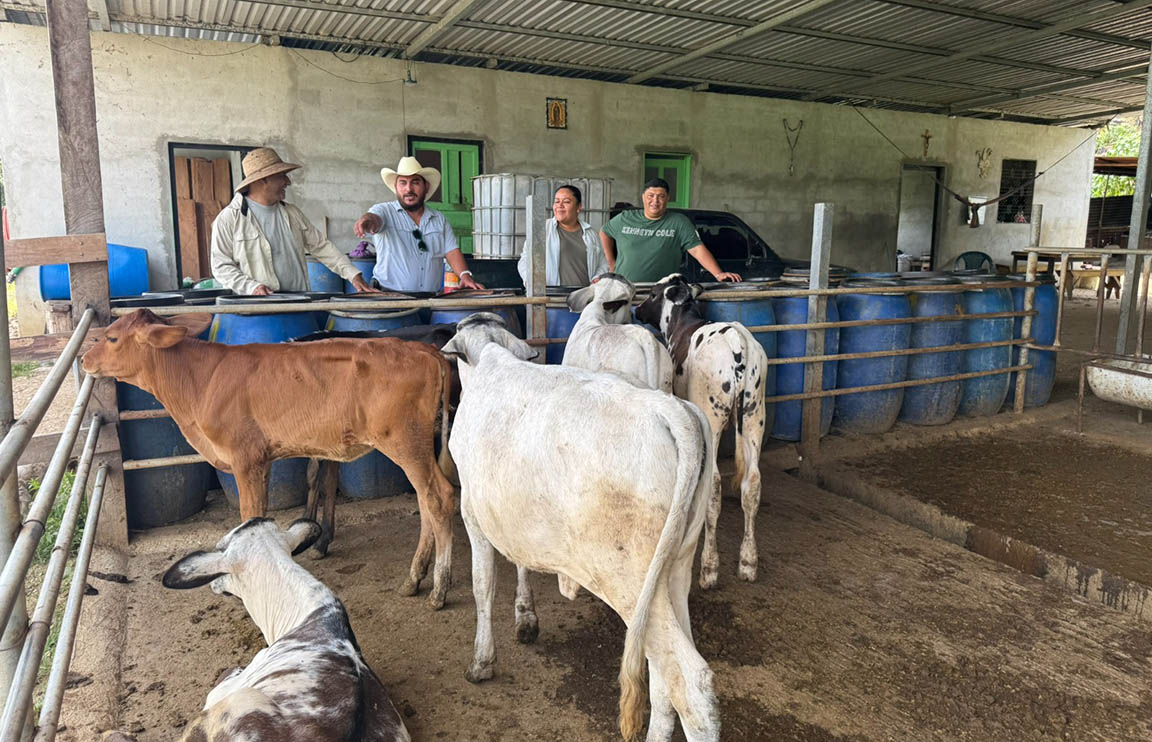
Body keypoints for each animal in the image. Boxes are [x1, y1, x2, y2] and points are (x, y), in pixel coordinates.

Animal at [81, 309, 457, 609]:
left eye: (112, 337)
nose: (84, 359)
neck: (200, 380)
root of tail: (424, 350)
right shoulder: (263, 460)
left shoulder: (246, 459)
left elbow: (250, 515)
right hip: (418, 446)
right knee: (425, 499)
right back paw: (414, 578)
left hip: (405, 442)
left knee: (439, 497)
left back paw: (439, 588)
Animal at [442, 313, 719, 742]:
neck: (490, 359)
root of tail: (669, 410)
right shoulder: (514, 514)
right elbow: (521, 562)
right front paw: (526, 620)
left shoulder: (474, 514)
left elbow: (482, 586)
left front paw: (482, 662)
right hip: (671, 573)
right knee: (663, 678)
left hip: (629, 581)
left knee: (690, 683)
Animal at [636, 274, 769, 590]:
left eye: (652, 293)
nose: (636, 310)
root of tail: (737, 342)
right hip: (755, 413)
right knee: (753, 483)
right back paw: (748, 562)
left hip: (712, 413)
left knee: (715, 485)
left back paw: (709, 568)